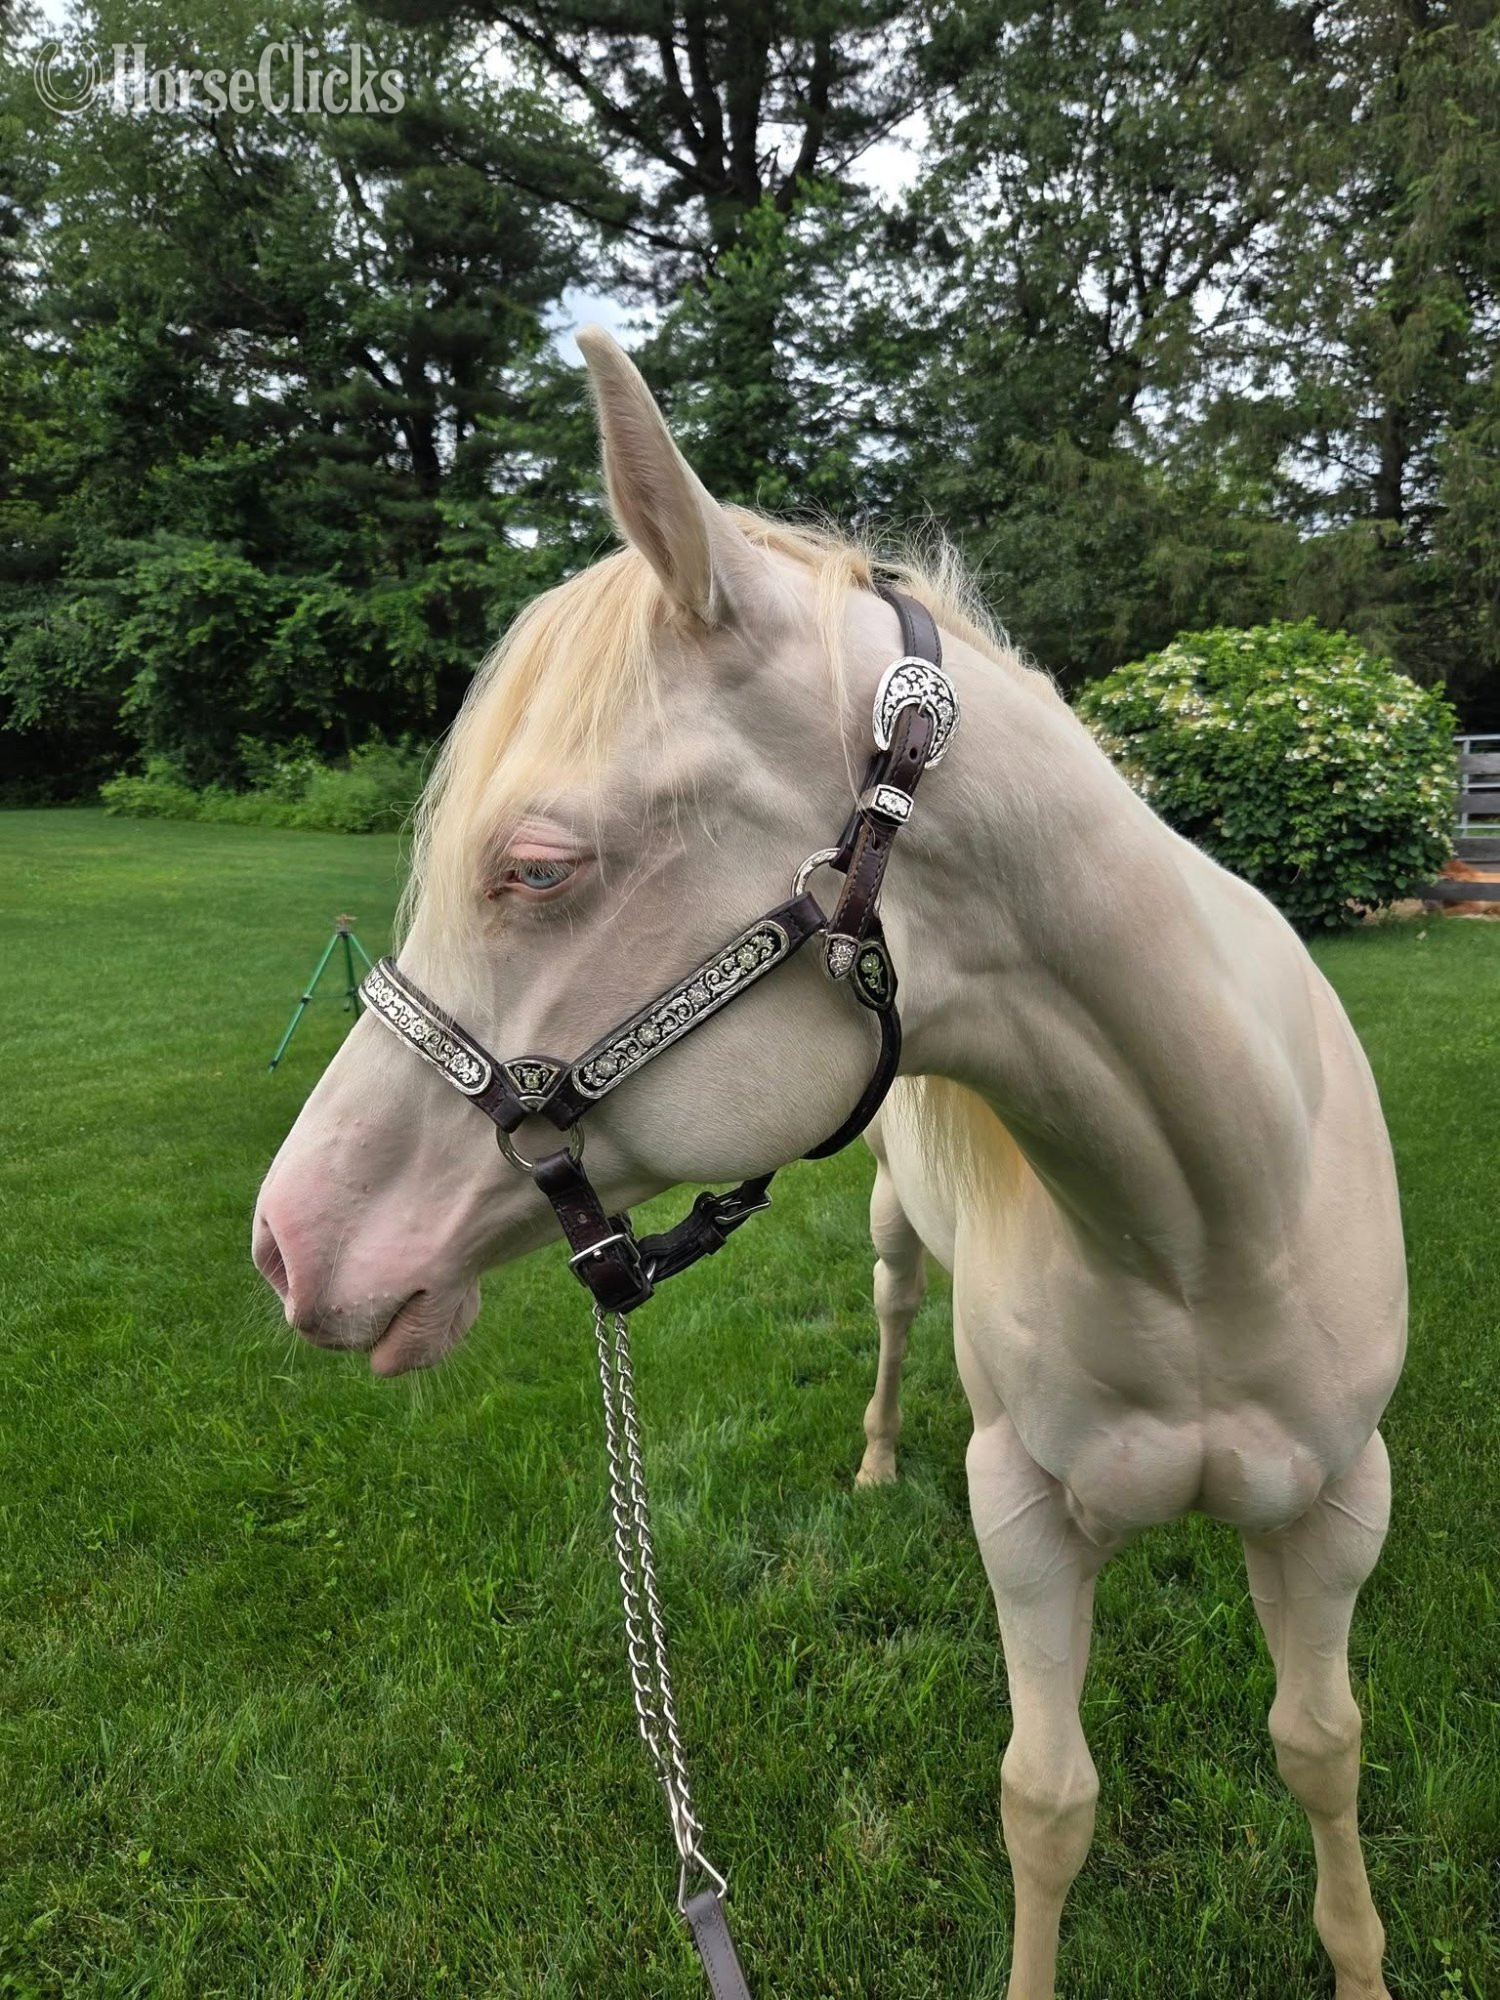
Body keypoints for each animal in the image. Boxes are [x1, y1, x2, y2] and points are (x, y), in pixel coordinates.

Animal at [253, 326, 1405, 1999]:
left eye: (536, 868)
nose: (288, 1241)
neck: (1206, 1225)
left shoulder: (1333, 1512)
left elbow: (1320, 1751)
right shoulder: (1024, 1514)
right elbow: (1047, 1801)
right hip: (891, 1244)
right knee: (890, 1325)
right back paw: (869, 1458)